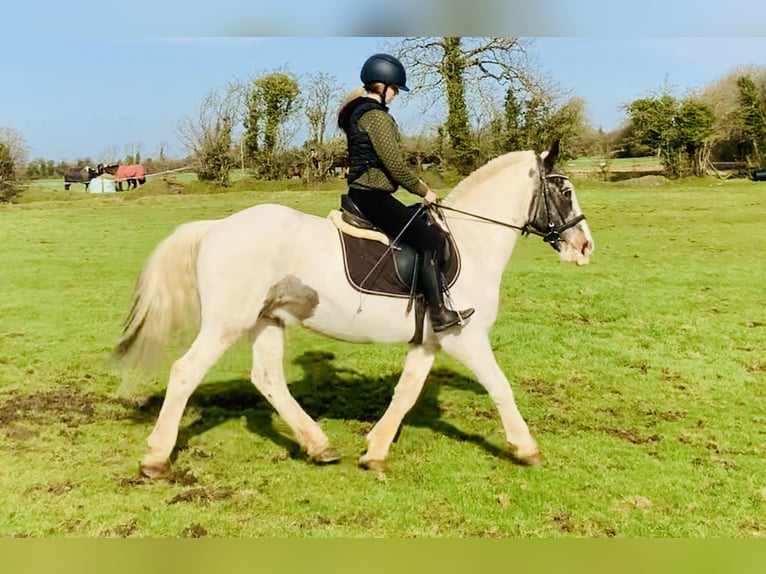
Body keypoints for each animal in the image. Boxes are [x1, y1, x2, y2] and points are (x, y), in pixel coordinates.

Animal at [115, 142, 592, 480]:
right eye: (566, 191)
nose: (585, 247)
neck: (471, 241)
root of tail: (215, 228)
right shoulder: (465, 337)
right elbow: (500, 387)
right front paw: (526, 449)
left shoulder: (430, 342)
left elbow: (406, 393)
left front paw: (375, 452)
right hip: (226, 324)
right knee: (185, 372)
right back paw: (156, 459)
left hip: (268, 319)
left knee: (267, 378)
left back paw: (319, 446)